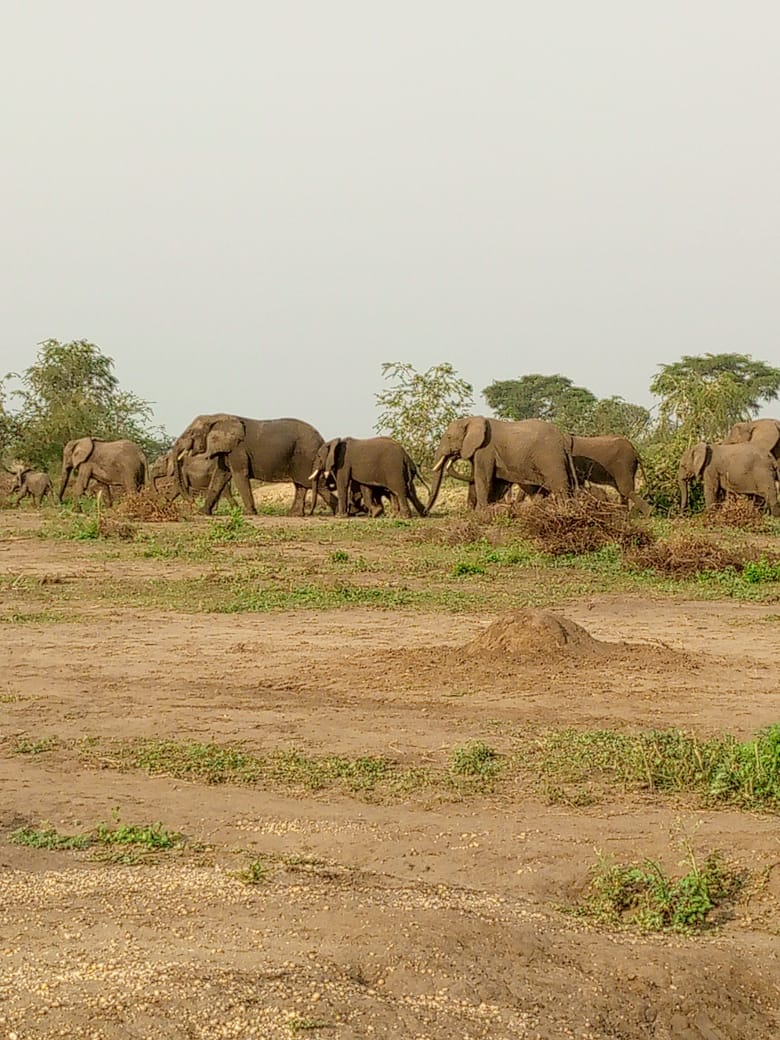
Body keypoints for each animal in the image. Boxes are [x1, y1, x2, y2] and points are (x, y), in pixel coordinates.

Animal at [173, 414, 336, 516]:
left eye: (191, 433)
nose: (192, 502)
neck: (216, 417)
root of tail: (322, 439)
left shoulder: (238, 449)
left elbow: (239, 474)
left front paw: (249, 513)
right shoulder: (228, 450)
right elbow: (220, 476)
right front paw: (203, 513)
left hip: (307, 455)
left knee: (316, 485)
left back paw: (340, 512)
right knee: (301, 486)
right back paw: (294, 515)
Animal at [425, 417, 577, 513]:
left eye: (449, 437)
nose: (425, 512)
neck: (471, 419)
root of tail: (563, 438)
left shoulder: (485, 449)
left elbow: (482, 477)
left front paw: (481, 512)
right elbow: (492, 481)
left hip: (550, 457)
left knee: (559, 485)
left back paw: (564, 510)